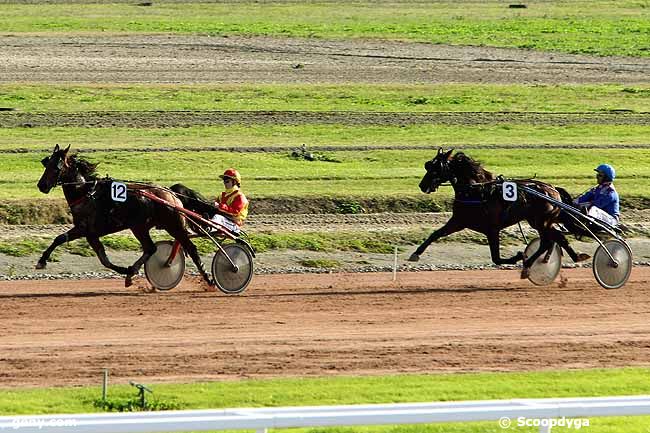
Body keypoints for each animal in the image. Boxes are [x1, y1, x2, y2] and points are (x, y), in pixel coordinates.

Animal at [36, 144, 213, 286]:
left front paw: (41, 261)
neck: (86, 193)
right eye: (47, 164)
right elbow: (103, 259)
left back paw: (208, 278)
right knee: (151, 248)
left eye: (56, 167)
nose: (41, 185)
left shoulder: (84, 229)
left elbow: (60, 239)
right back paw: (132, 272)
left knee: (191, 249)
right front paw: (125, 270)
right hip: (140, 227)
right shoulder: (91, 234)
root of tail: (171, 193)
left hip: (172, 226)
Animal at [408, 148, 588, 274]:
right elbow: (435, 234)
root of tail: (553, 189)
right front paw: (416, 254)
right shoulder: (459, 221)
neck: (477, 192)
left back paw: (530, 263)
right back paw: (571, 257)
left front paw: (518, 256)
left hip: (541, 222)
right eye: (428, 165)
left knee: (550, 240)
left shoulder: (492, 229)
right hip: (540, 222)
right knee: (555, 238)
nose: (422, 186)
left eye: (435, 168)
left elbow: (496, 258)